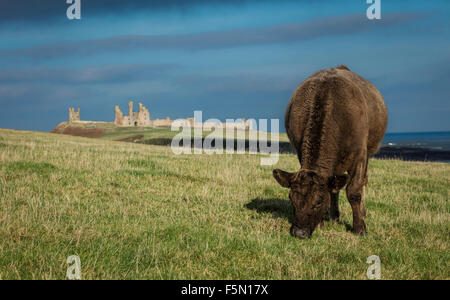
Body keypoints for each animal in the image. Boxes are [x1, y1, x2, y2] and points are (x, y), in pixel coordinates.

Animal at [272, 65, 388, 239]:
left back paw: (362, 213)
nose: (299, 232)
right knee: (335, 187)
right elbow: (333, 188)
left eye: (319, 201)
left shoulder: (360, 155)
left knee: (363, 181)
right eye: (291, 198)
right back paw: (334, 216)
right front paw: (321, 223)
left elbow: (354, 191)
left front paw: (360, 228)